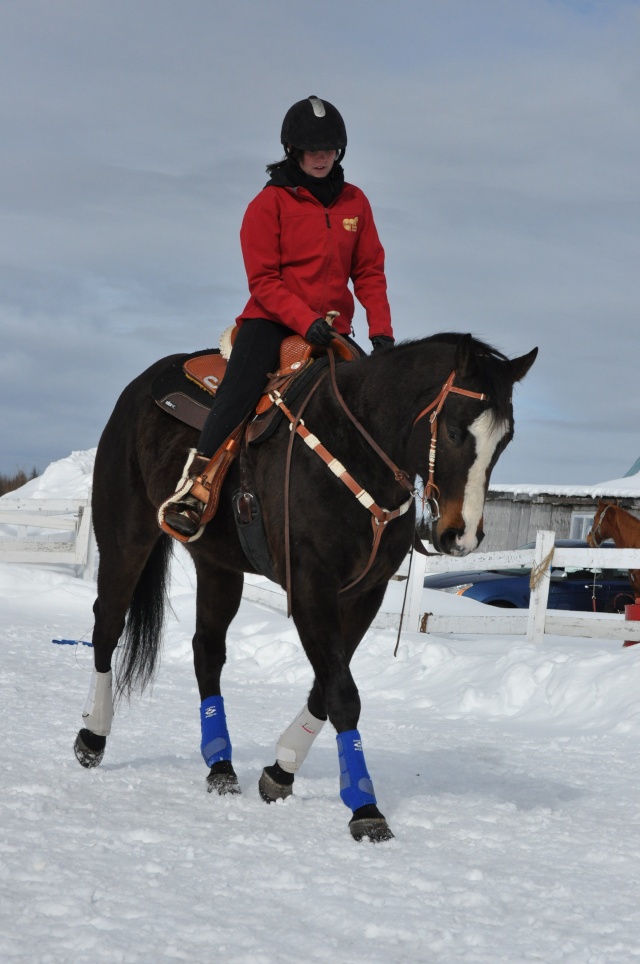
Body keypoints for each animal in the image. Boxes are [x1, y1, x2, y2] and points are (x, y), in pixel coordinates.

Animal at [74, 332, 536, 844]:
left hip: (218, 567)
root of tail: (141, 386)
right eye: (454, 431)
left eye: (505, 440)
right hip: (126, 538)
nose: (462, 536)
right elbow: (343, 695)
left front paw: (281, 769)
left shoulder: (365, 593)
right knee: (107, 625)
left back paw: (221, 765)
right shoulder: (312, 584)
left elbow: (327, 685)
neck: (358, 446)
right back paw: (93, 736)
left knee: (207, 652)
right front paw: (364, 806)